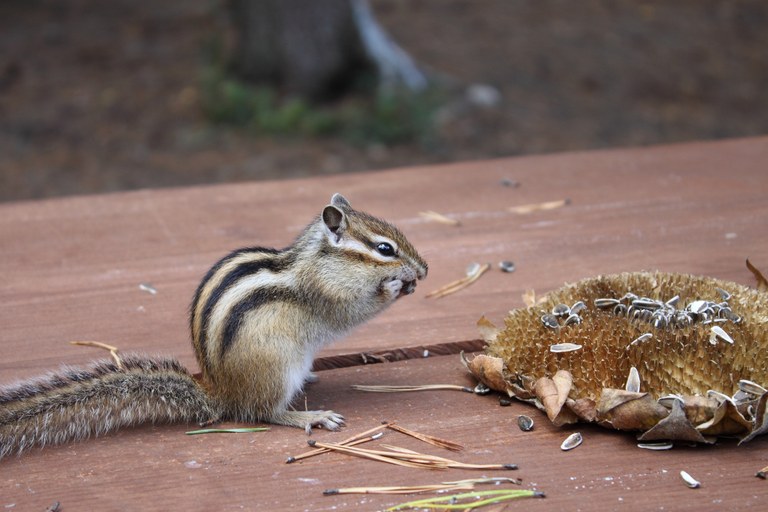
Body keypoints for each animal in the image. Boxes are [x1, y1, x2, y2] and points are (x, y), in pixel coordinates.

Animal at [0, 193, 427, 458]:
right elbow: (352, 310)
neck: (317, 260)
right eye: (385, 249)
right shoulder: (327, 294)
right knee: (262, 412)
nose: (423, 270)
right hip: (276, 368)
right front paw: (394, 287)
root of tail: (220, 392)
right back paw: (309, 416)